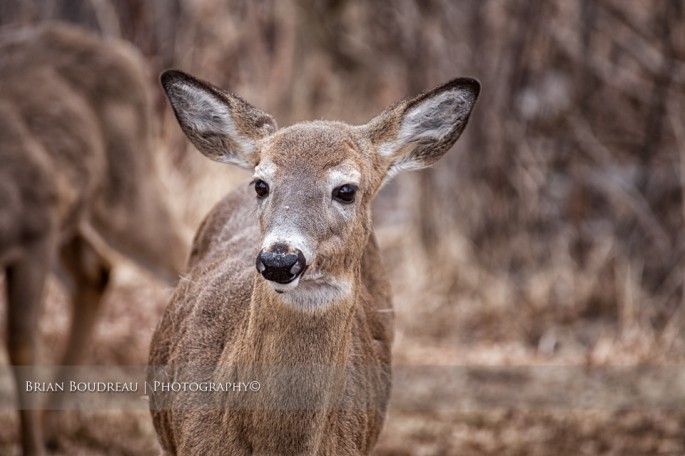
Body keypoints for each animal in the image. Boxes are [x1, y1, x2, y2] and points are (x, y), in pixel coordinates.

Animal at [0, 23, 188, 455]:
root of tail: (126, 54)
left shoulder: (36, 226)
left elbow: (21, 343)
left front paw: (29, 447)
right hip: (74, 213)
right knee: (95, 272)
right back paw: (52, 427)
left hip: (123, 187)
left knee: (178, 249)